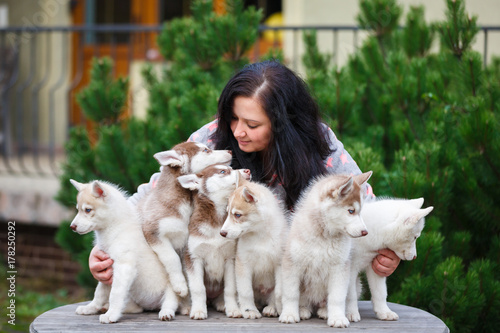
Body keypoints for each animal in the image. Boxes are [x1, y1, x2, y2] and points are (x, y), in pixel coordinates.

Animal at [69, 180, 179, 322]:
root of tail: (151, 306)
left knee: (171, 302)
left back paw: (166, 312)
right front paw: (91, 307)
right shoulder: (107, 267)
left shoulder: (124, 267)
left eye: (87, 210)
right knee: (136, 308)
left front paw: (111, 315)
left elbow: (115, 294)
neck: (114, 228)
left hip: (171, 289)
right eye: (78, 209)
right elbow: (99, 292)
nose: (72, 227)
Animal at [136, 141, 231, 296]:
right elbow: (171, 258)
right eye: (206, 150)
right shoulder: (153, 232)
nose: (230, 151)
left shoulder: (186, 243)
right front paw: (180, 285)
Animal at [178, 163, 252, 320]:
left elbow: (230, 288)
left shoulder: (230, 258)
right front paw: (198, 310)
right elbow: (198, 288)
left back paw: (221, 304)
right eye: (223, 171)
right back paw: (187, 307)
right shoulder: (193, 257)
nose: (247, 170)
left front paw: (233, 309)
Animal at [221, 180, 288, 318]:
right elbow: (246, 291)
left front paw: (280, 308)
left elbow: (279, 291)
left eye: (237, 215)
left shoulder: (279, 263)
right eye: (228, 213)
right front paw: (249, 310)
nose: (222, 233)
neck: (260, 236)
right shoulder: (243, 264)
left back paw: (271, 308)